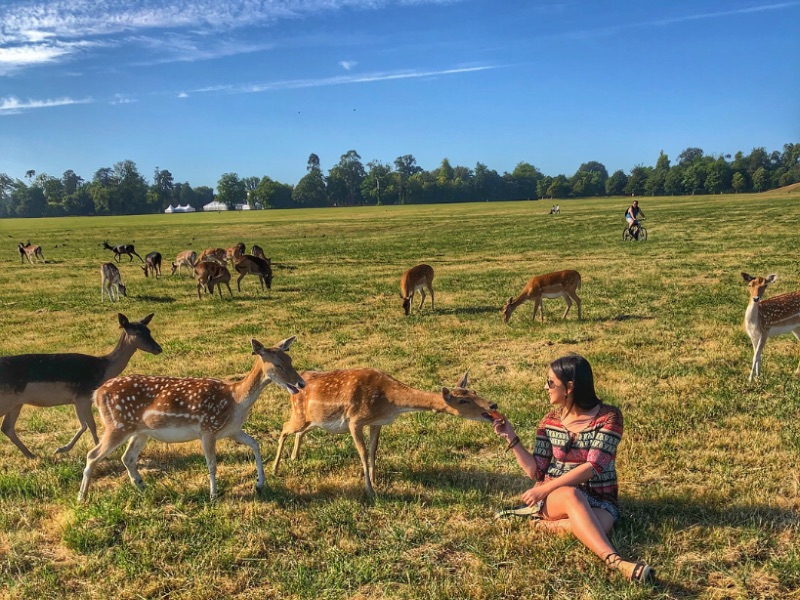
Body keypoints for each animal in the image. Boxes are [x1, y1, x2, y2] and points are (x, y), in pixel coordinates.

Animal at [0, 312, 162, 458]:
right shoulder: (83, 396)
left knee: (7, 427)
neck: (103, 370)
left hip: (16, 403)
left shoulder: (76, 399)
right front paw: (104, 455)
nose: (158, 349)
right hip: (7, 400)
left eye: (149, 330)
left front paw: (61, 449)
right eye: (137, 332)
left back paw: (31, 455)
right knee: (7, 427)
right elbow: (92, 425)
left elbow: (83, 425)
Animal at [78, 338, 304, 502]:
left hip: (140, 431)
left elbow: (255, 444)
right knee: (93, 454)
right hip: (118, 424)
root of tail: (96, 394)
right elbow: (212, 464)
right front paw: (213, 496)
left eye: (291, 360)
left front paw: (260, 483)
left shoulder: (231, 430)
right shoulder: (208, 429)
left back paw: (144, 488)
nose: (301, 383)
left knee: (128, 458)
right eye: (278, 365)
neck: (236, 401)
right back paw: (82, 497)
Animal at [276, 370, 500, 496]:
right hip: (300, 414)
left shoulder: (377, 422)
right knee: (284, 428)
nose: (493, 404)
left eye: (474, 391)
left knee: (299, 431)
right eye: (463, 400)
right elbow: (363, 454)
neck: (390, 402)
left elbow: (374, 451)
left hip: (314, 420)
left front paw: (375, 480)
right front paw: (369, 490)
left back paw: (294, 457)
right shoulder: (355, 421)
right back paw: (275, 468)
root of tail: (295, 385)